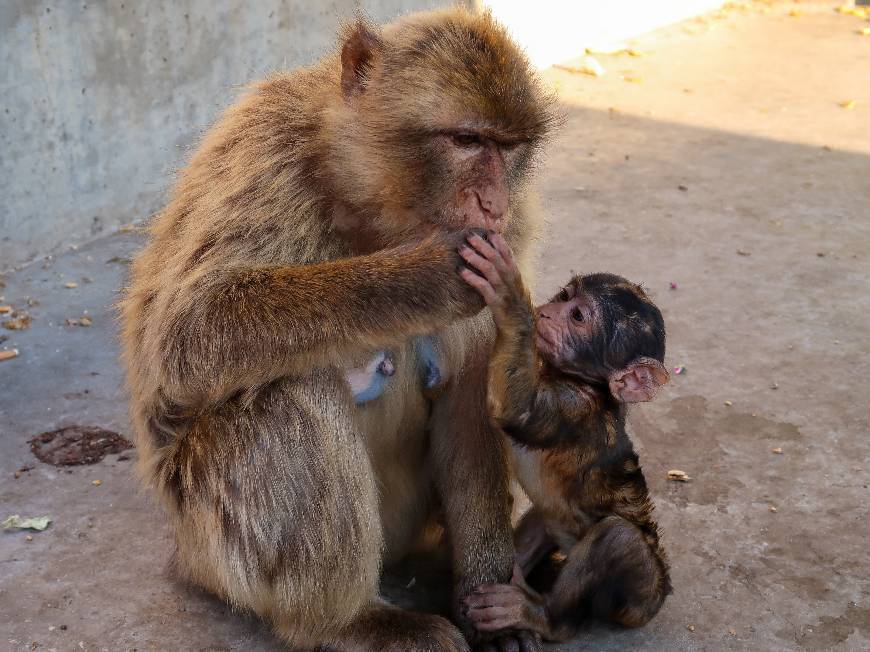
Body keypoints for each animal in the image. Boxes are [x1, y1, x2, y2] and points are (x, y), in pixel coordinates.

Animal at [120, 6, 556, 652]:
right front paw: (422, 276)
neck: (372, 204)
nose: (492, 203)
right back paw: (343, 621)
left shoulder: (512, 233)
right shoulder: (268, 158)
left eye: (509, 148)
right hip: (210, 539)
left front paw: (491, 601)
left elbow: (477, 386)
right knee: (288, 393)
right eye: (466, 141)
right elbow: (189, 331)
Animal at [464, 232, 676, 640]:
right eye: (564, 296)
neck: (587, 384)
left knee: (619, 539)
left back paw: (540, 614)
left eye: (577, 317)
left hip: (642, 598)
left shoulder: (577, 410)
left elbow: (521, 410)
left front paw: (510, 296)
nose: (545, 313)